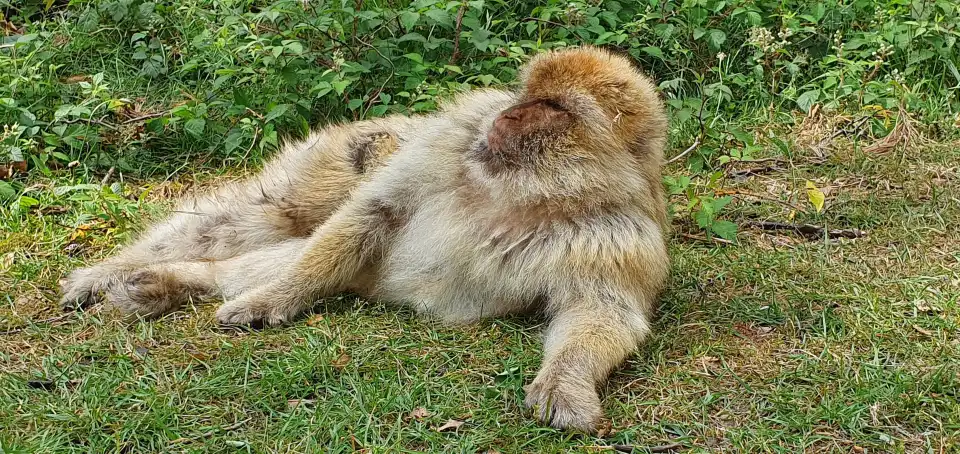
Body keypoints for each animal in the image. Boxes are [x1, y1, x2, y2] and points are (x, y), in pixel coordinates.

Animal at [60, 46, 670, 432]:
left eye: (550, 107)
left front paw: (566, 384)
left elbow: (600, 311)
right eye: (525, 93)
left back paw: (163, 285)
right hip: (343, 153)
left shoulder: (619, 236)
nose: (507, 114)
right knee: (267, 220)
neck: (532, 193)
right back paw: (123, 273)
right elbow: (374, 212)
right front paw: (275, 298)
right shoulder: (452, 138)